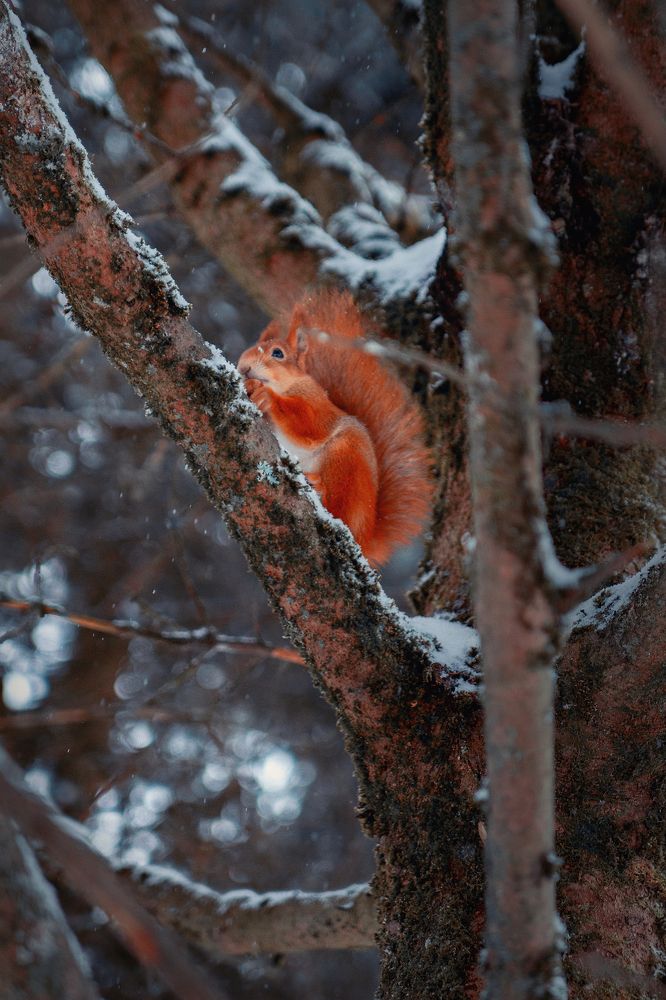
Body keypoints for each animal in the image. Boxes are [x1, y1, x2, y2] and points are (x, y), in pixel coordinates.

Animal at [237, 290, 432, 565]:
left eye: (277, 354)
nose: (243, 367)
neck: (288, 385)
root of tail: (365, 538)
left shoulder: (319, 409)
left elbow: (307, 425)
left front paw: (265, 395)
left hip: (345, 457)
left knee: (339, 510)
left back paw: (319, 487)